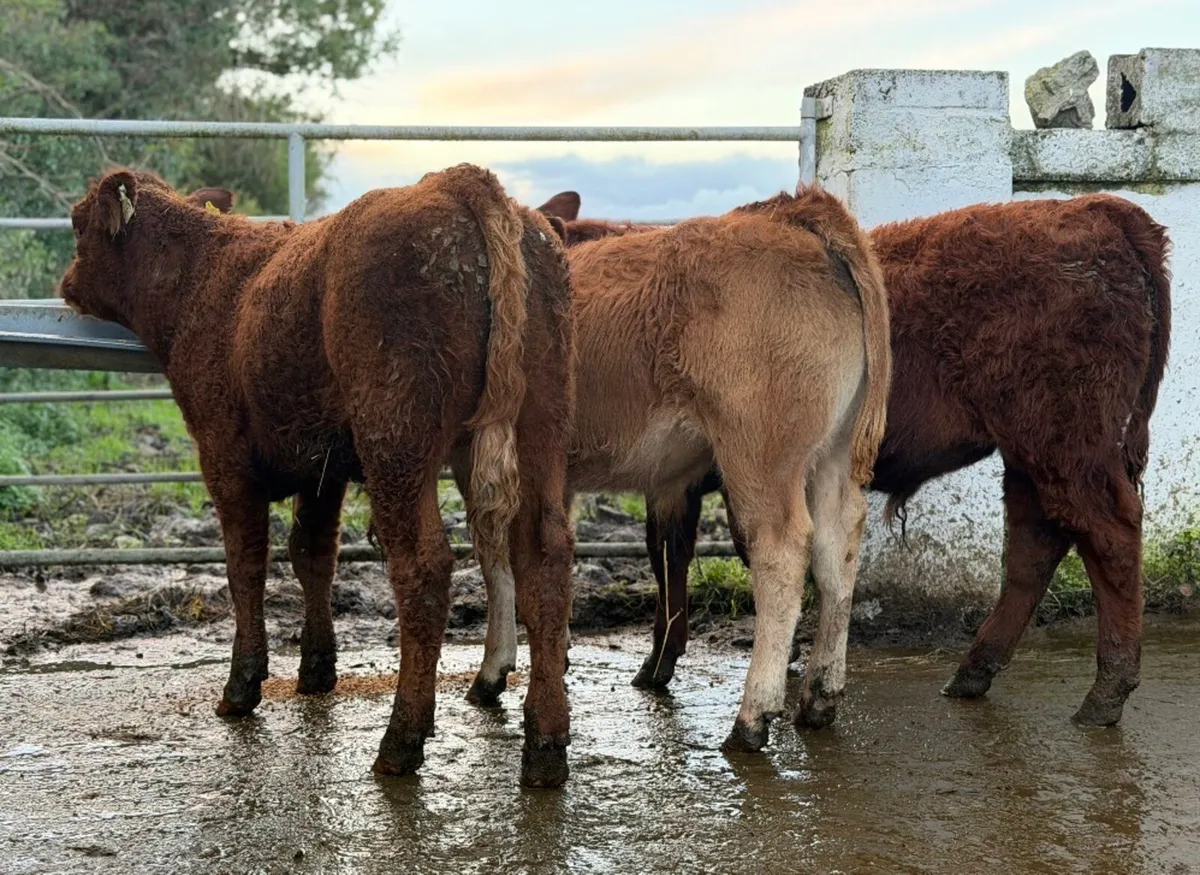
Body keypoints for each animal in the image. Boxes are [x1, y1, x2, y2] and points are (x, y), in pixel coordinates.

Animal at [59, 165, 576, 787]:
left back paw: (401, 740)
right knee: (544, 561)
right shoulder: (322, 466)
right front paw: (316, 670)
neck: (204, 278)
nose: (66, 282)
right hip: (540, 426)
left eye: (78, 222)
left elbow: (246, 565)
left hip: (397, 440)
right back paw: (545, 747)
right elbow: (313, 556)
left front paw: (243, 685)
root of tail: (456, 182)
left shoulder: (224, 456)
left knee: (423, 569)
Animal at [462, 186, 892, 752]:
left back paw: (751, 719)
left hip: (758, 454)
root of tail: (790, 212)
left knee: (781, 550)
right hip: (830, 453)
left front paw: (493, 668)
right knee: (837, 544)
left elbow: (495, 558)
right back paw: (820, 696)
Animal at [540, 190, 1172, 728]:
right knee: (1033, 548)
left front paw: (657, 666)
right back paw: (970, 674)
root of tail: (1102, 209)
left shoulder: (684, 478)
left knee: (1109, 537)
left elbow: (672, 558)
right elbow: (671, 557)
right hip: (1028, 457)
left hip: (1064, 447)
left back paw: (1106, 693)